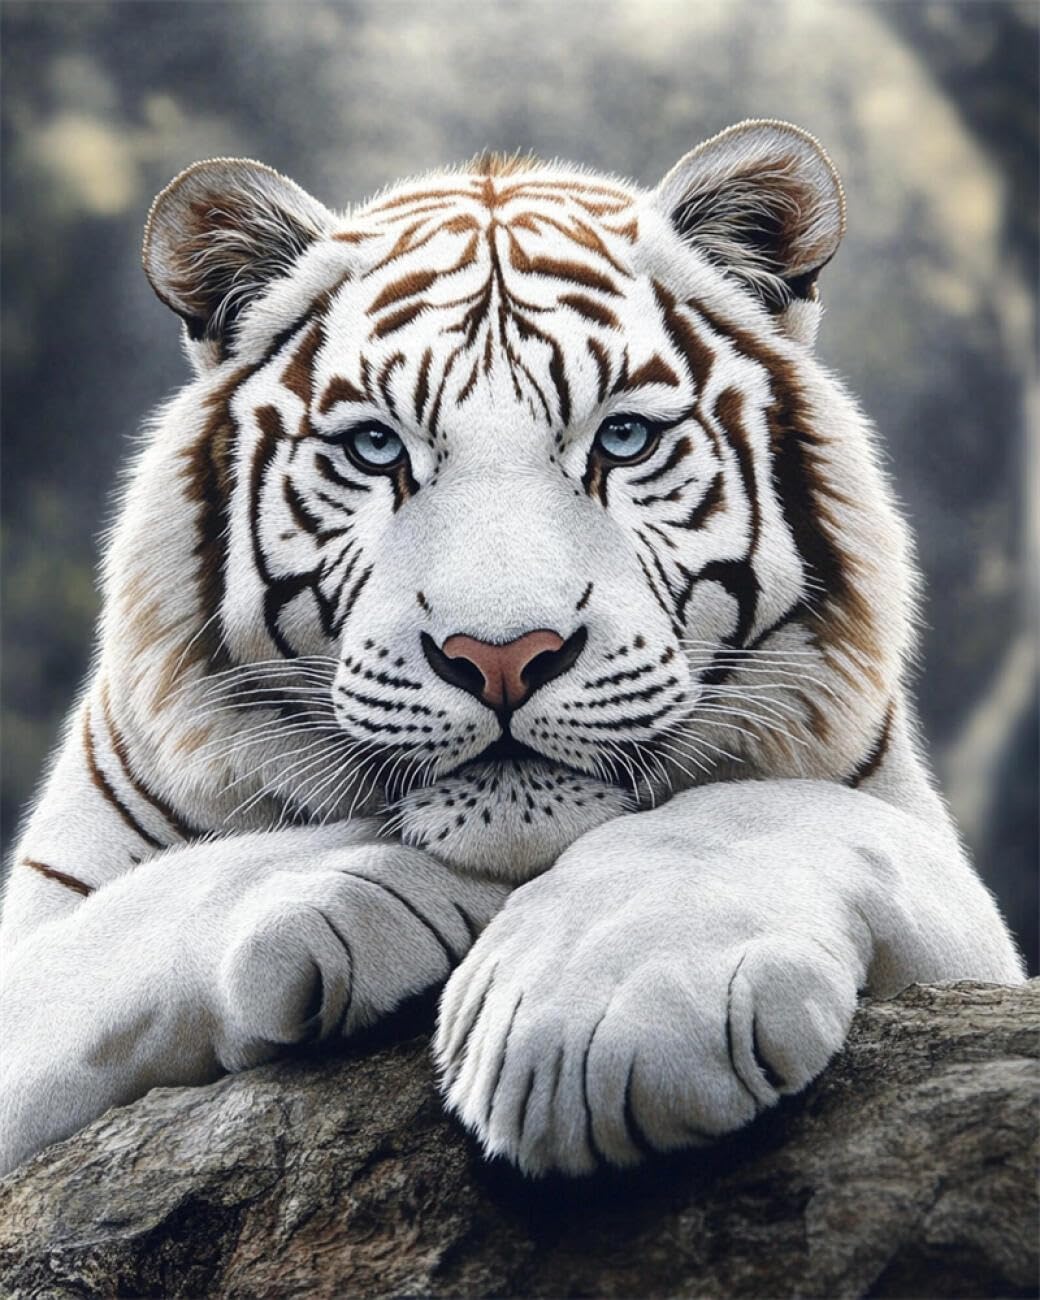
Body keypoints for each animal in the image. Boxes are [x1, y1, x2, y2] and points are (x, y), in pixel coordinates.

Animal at [0, 120, 1024, 1178]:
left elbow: (765, 811)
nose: (500, 656)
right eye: (376, 448)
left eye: (623, 438)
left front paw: (602, 1025)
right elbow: (143, 914)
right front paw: (373, 884)